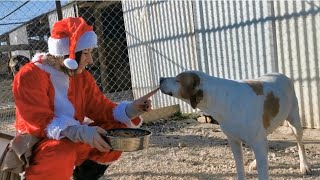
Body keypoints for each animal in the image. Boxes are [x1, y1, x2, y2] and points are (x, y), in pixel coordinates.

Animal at [161, 71, 312, 179]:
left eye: (177, 79)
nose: (161, 78)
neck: (221, 99)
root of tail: (281, 74)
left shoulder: (256, 141)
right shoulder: (234, 142)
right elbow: (240, 168)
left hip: (294, 122)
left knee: (300, 144)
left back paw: (304, 166)